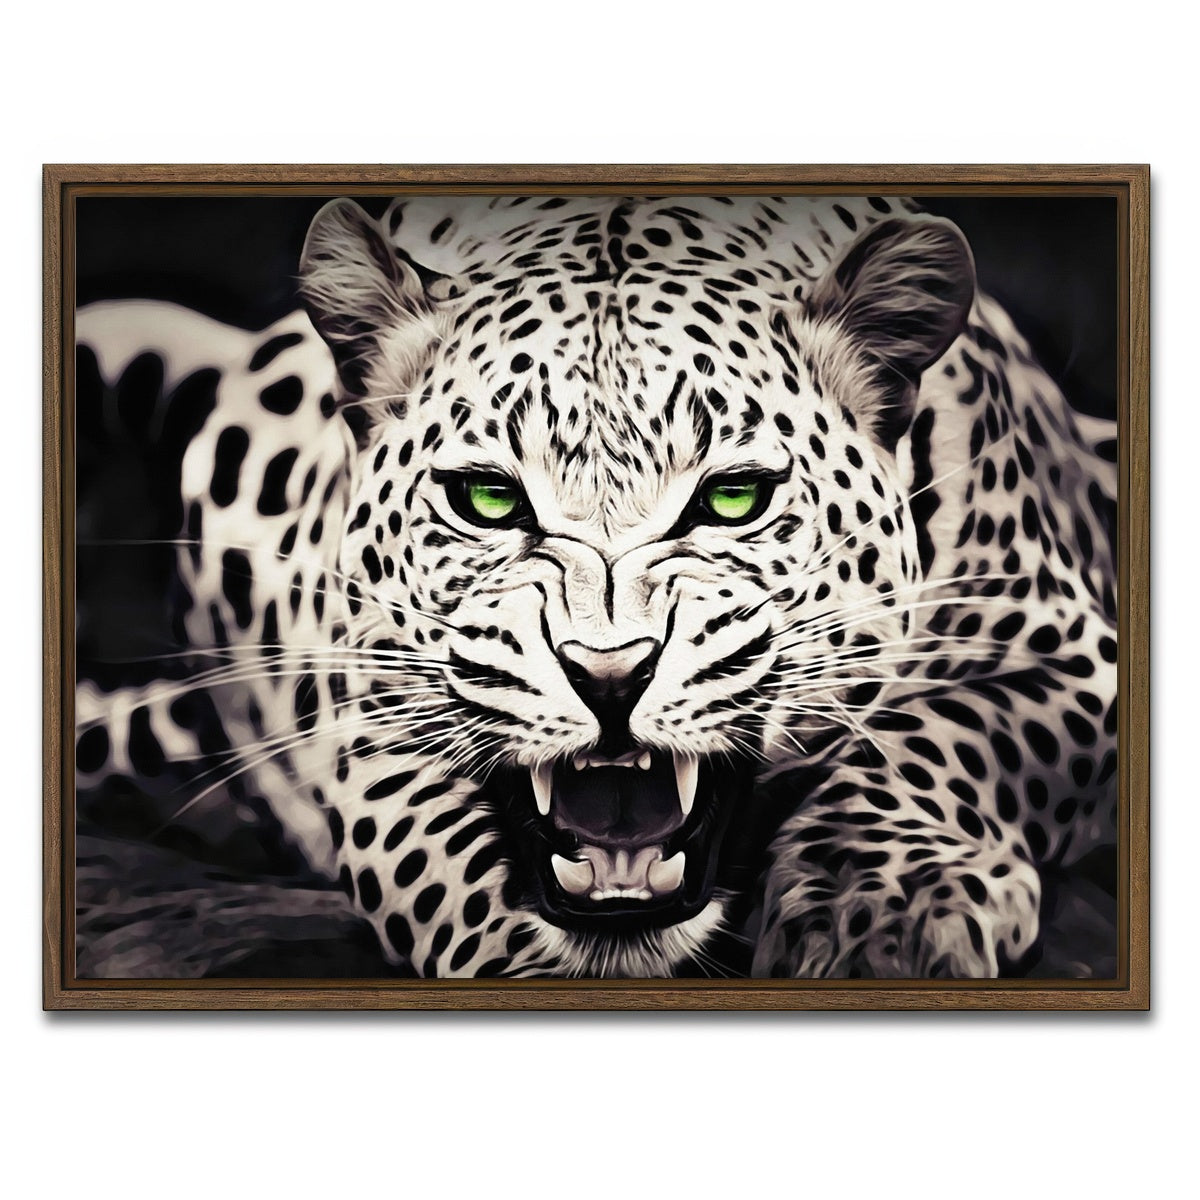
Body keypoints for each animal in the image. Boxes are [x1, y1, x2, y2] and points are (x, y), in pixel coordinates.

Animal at [74, 193, 1119, 980]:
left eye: (732, 497)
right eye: (489, 499)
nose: (609, 676)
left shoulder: (1072, 658)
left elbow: (939, 735)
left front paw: (881, 911)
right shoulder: (374, 725)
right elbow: (442, 864)